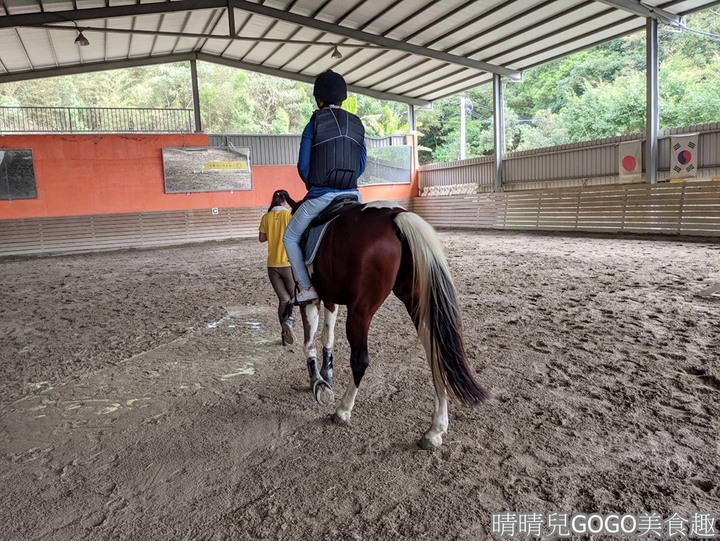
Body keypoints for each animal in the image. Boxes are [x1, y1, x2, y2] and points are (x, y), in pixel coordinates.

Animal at [290, 198, 486, 448]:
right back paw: (435, 430)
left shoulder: (311, 299)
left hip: (361, 311)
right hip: (416, 302)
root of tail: (395, 217)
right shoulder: (330, 298)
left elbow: (309, 342)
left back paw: (343, 410)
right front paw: (326, 373)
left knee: (360, 360)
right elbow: (327, 336)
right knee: (436, 355)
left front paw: (317, 381)